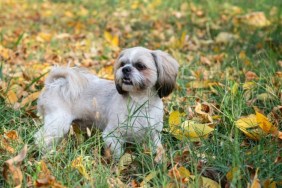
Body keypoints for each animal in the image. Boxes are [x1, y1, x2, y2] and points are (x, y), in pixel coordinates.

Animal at [33, 46, 178, 162]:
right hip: (57, 123)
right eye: (122, 64)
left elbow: (156, 149)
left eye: (140, 66)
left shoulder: (153, 135)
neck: (139, 103)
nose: (125, 69)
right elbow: (118, 153)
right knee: (41, 138)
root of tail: (54, 84)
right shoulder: (112, 135)